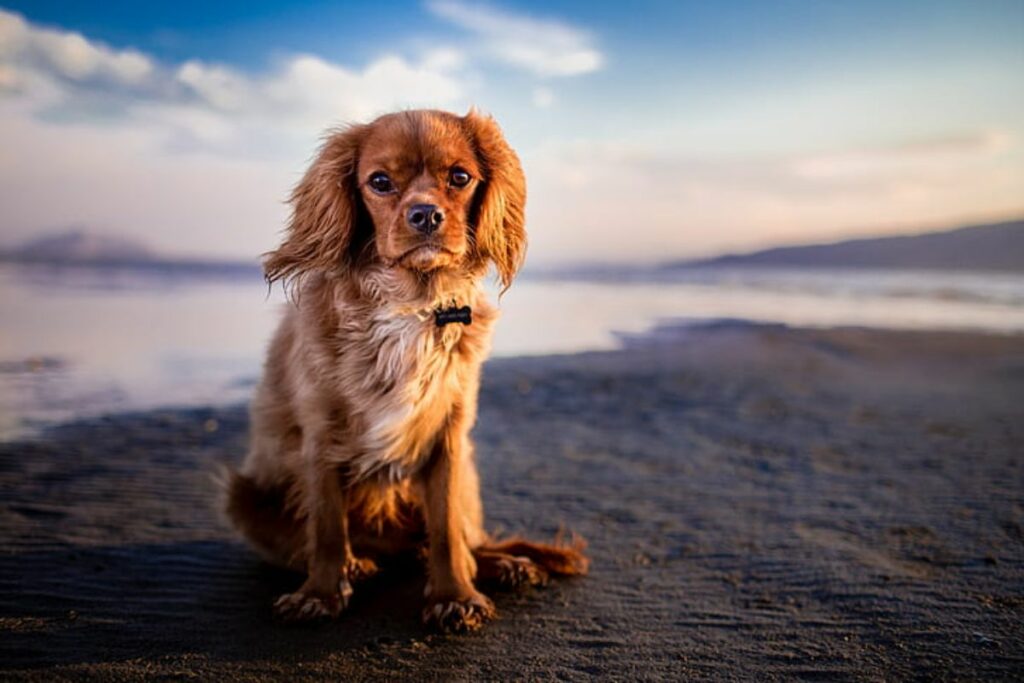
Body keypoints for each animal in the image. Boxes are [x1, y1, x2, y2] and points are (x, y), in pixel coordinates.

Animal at [227, 109, 589, 634]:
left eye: (459, 177)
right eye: (379, 182)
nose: (425, 215)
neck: (411, 304)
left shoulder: (449, 436)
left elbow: (446, 530)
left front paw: (455, 596)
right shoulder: (321, 437)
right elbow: (328, 527)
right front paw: (320, 593)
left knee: (463, 541)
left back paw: (505, 564)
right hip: (243, 497)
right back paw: (357, 564)